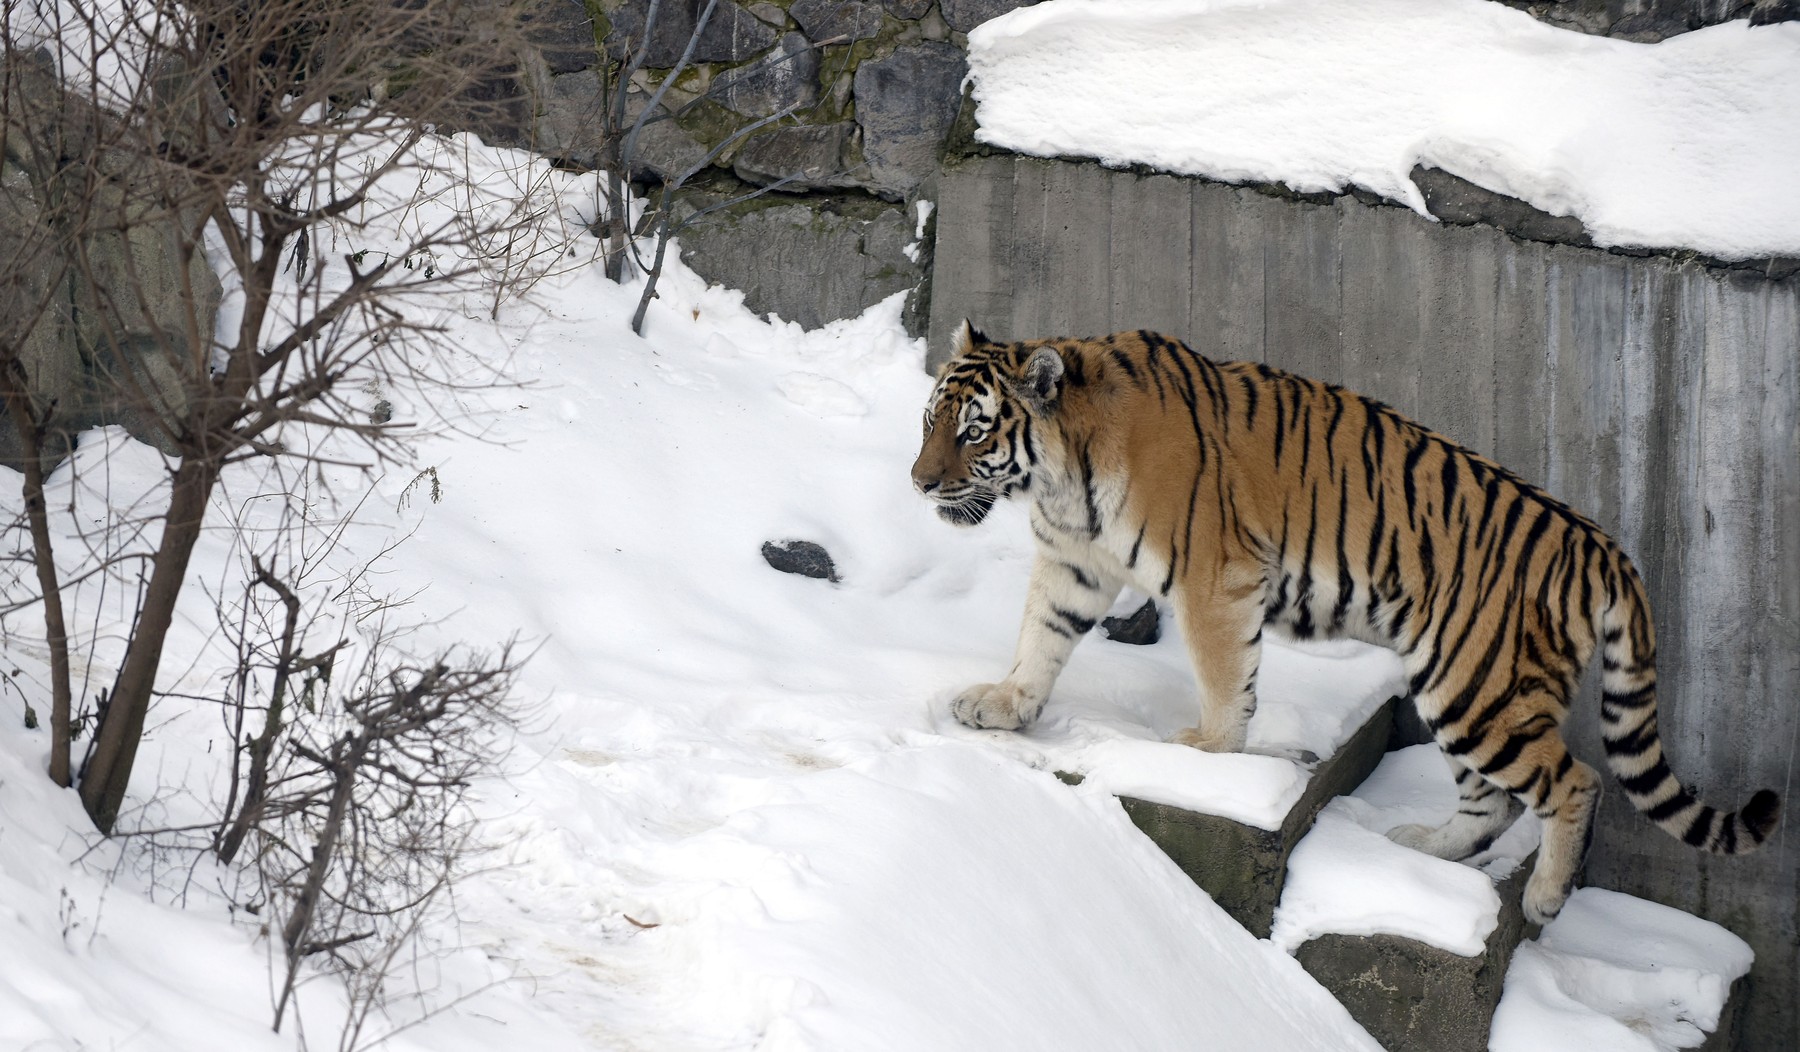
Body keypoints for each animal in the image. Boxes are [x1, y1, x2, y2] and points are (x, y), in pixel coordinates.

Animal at [911, 321, 1780, 925]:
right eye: (929, 420)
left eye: (974, 430)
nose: (918, 482)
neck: (1061, 477)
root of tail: (1600, 544)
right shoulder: (1076, 564)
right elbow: (1039, 637)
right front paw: (1004, 705)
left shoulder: (1214, 578)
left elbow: (1224, 680)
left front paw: (1205, 759)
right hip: (1460, 689)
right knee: (1493, 801)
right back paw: (1421, 848)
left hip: (1478, 688)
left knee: (1575, 781)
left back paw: (1543, 898)